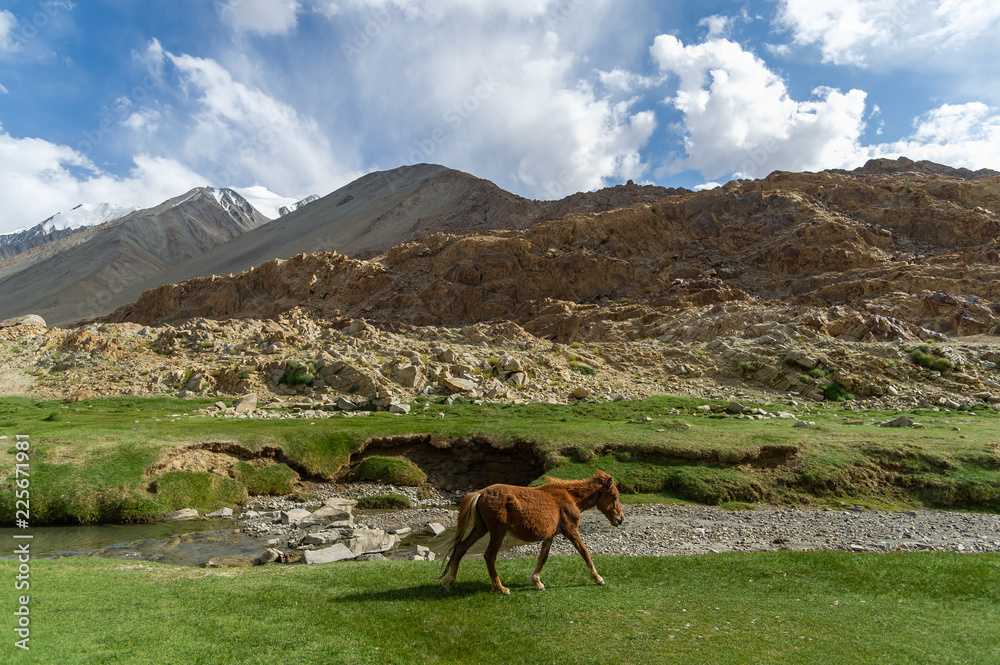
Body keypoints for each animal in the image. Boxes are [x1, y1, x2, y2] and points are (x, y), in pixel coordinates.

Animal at [440, 470, 624, 592]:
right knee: (489, 556)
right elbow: (585, 552)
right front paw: (597, 578)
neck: (570, 497)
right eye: (614, 496)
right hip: (498, 531)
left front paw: (536, 582)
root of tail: (480, 493)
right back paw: (500, 588)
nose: (620, 519)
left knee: (461, 548)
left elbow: (543, 558)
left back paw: (448, 583)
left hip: (480, 528)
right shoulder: (571, 531)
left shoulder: (550, 535)